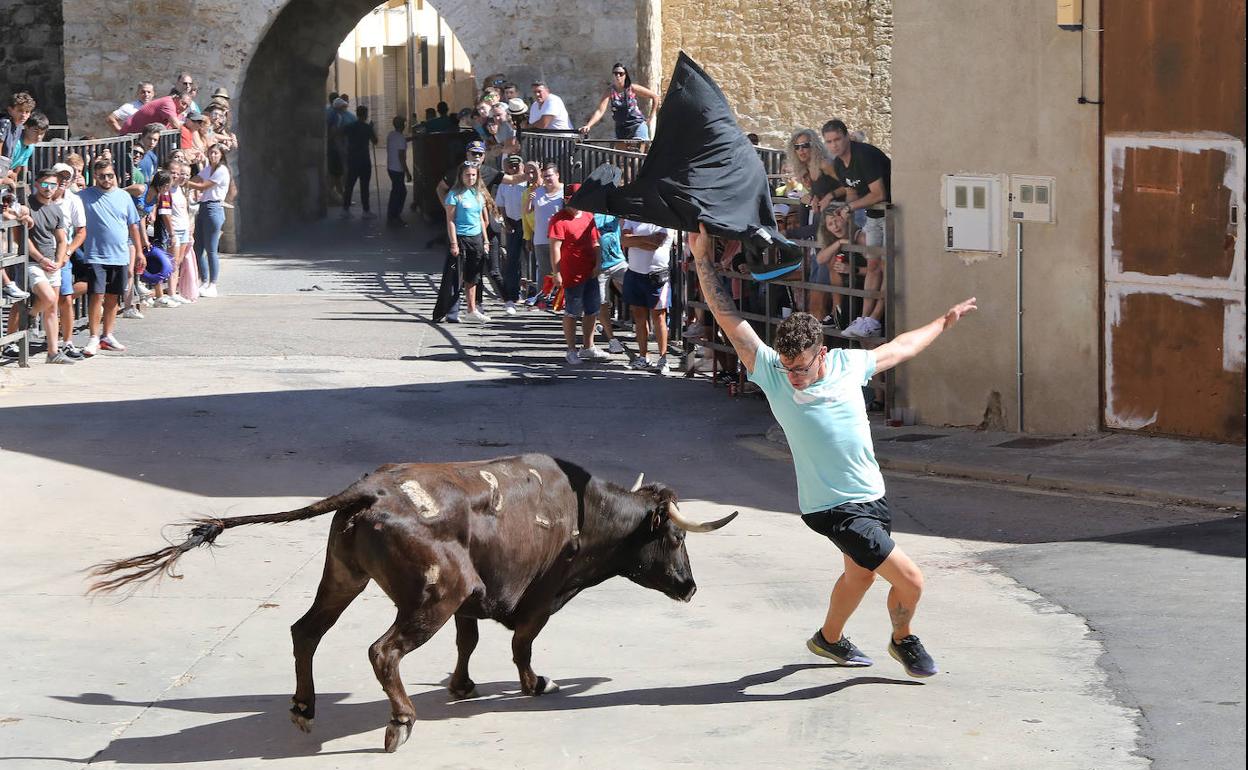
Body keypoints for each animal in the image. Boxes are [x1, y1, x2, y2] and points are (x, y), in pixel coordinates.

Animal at [90, 456, 728, 748]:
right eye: (676, 539)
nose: (691, 586)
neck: (581, 512)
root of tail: (368, 489)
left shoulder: (474, 599)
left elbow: (469, 641)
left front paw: (464, 686)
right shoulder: (539, 598)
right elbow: (521, 643)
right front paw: (532, 683)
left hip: (343, 575)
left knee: (305, 631)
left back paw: (304, 708)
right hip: (431, 596)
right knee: (382, 651)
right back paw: (401, 720)